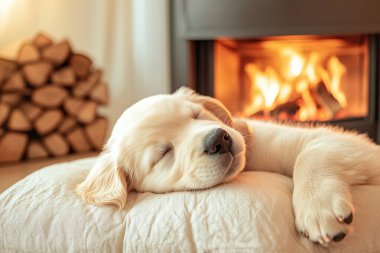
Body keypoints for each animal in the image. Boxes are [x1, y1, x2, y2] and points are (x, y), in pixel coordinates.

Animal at [77, 86, 380, 245]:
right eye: (163, 153)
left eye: (197, 115)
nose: (218, 139)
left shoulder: (338, 141)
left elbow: (309, 155)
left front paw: (319, 210)